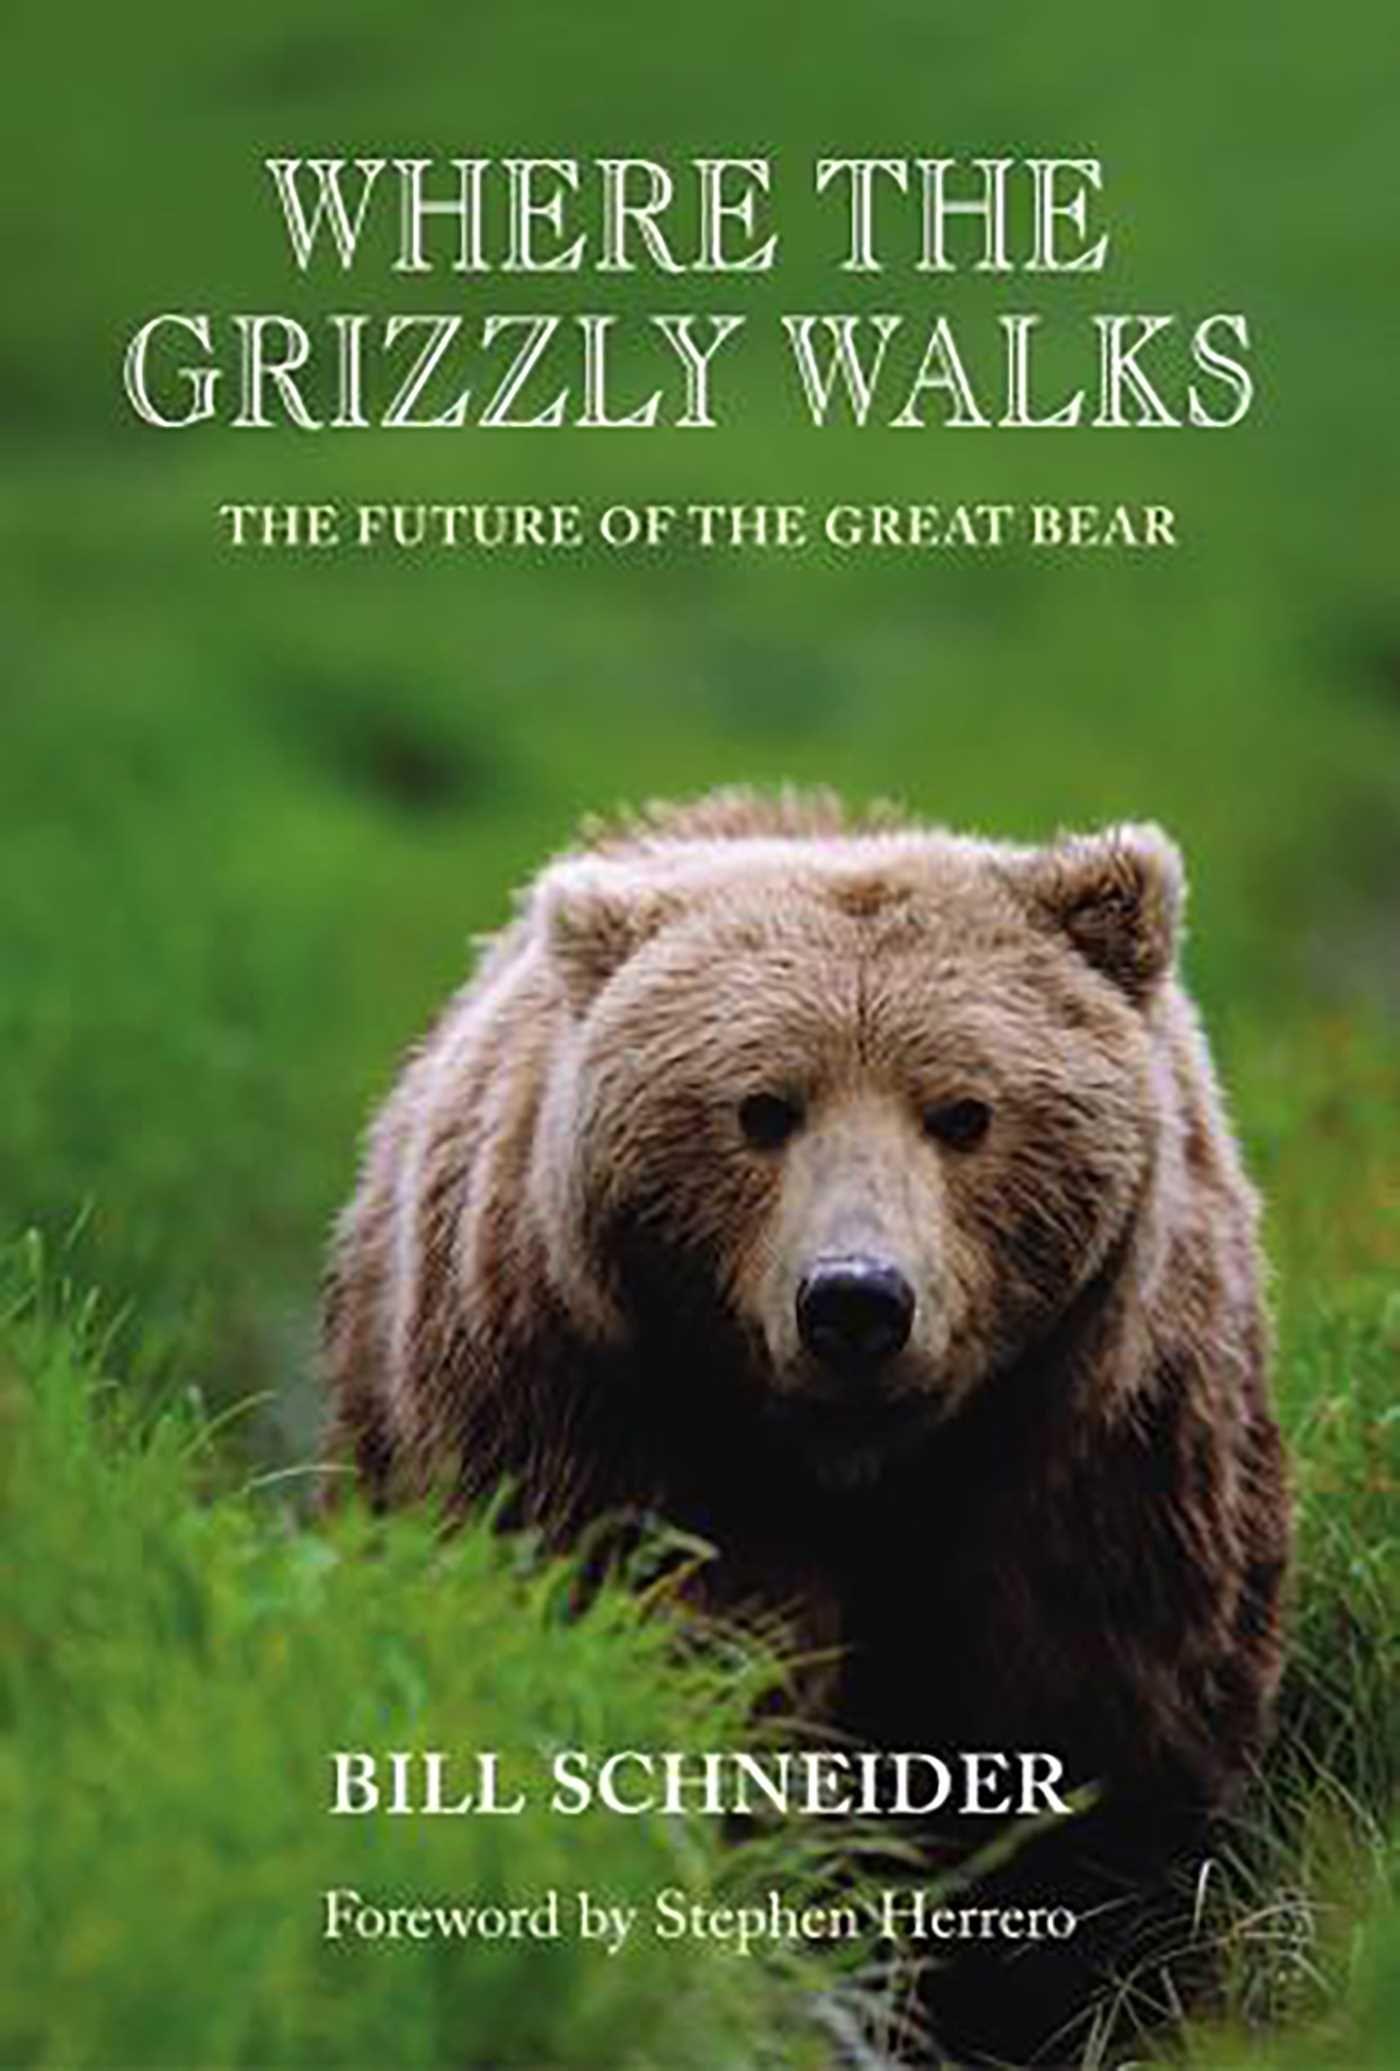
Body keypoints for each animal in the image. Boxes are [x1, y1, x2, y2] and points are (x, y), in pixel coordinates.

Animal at [322, 789, 1290, 2062]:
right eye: (761, 1108)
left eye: (963, 1111)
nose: (855, 1301)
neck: (862, 1467)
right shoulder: (608, 1426)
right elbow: (703, 1692)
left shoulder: (1099, 1453)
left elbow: (1103, 1744)